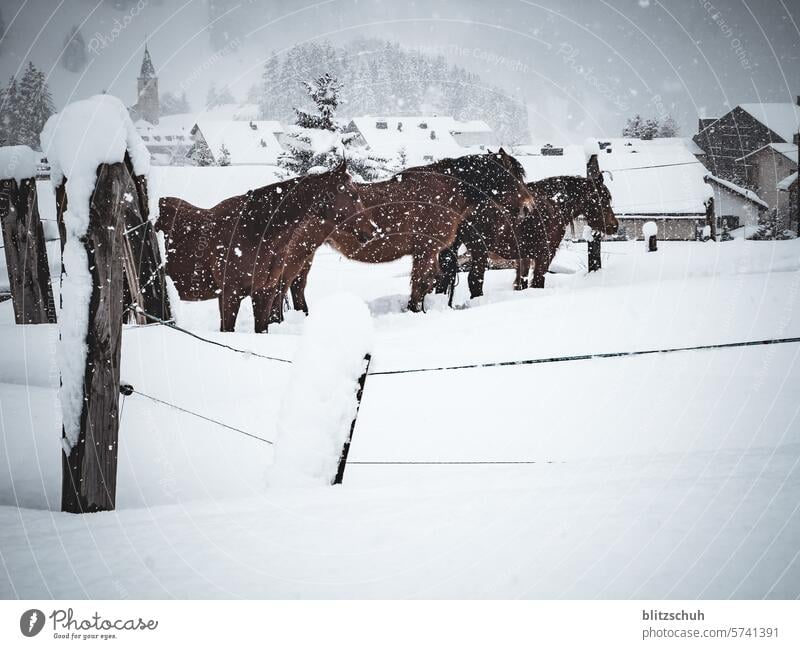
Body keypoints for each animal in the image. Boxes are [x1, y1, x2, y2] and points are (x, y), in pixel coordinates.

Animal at [288, 152, 536, 314]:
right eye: (514, 176)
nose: (529, 207)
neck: (445, 190)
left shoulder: (430, 252)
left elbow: (428, 283)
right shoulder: (426, 251)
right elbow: (420, 284)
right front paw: (415, 311)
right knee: (295, 284)